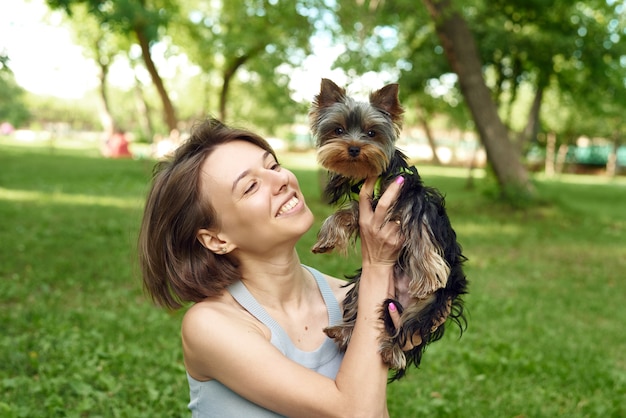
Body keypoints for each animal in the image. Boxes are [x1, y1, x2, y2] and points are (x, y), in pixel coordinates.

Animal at [310, 77, 466, 378]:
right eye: (338, 130)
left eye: (372, 133)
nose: (354, 148)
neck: (377, 177)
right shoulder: (367, 204)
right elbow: (348, 211)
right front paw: (327, 237)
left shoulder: (414, 200)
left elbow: (421, 233)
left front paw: (427, 274)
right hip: (362, 287)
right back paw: (344, 332)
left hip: (432, 305)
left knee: (407, 327)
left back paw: (393, 351)